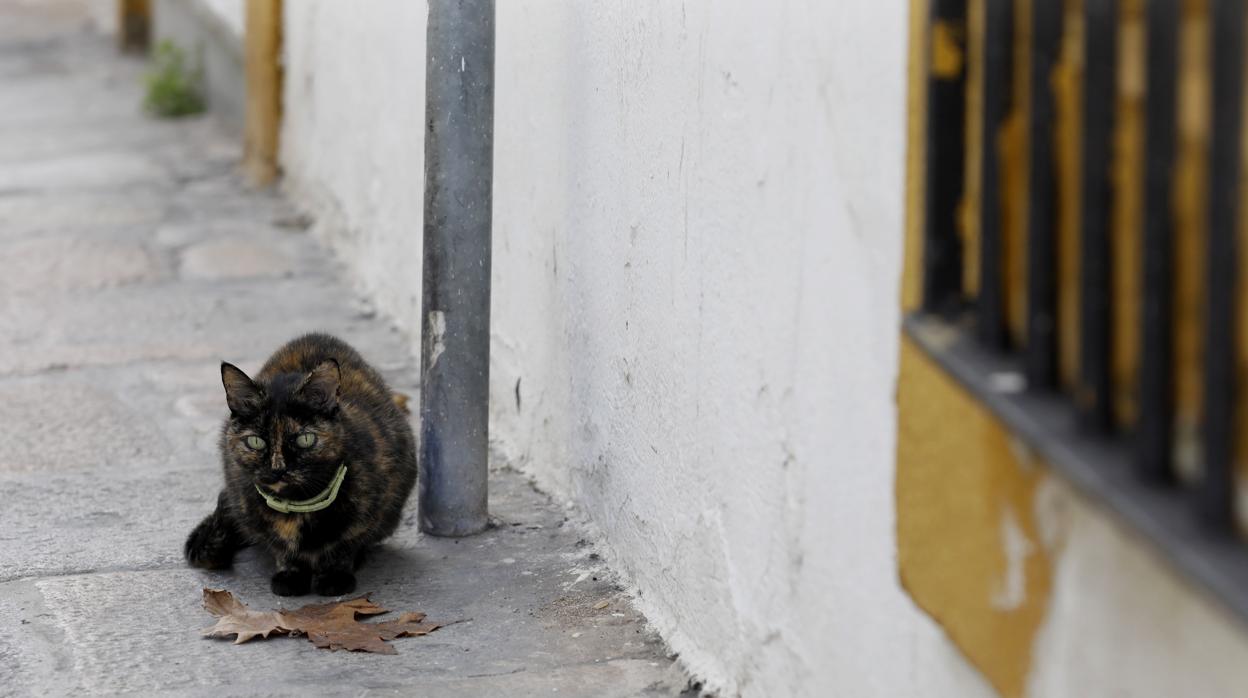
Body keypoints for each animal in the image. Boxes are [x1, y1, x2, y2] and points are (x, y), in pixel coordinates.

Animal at [183, 332, 419, 594]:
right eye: (256, 442)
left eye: (305, 440)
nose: (278, 469)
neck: (297, 507)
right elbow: (280, 548)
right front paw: (291, 574)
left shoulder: (373, 505)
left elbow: (345, 544)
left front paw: (334, 576)